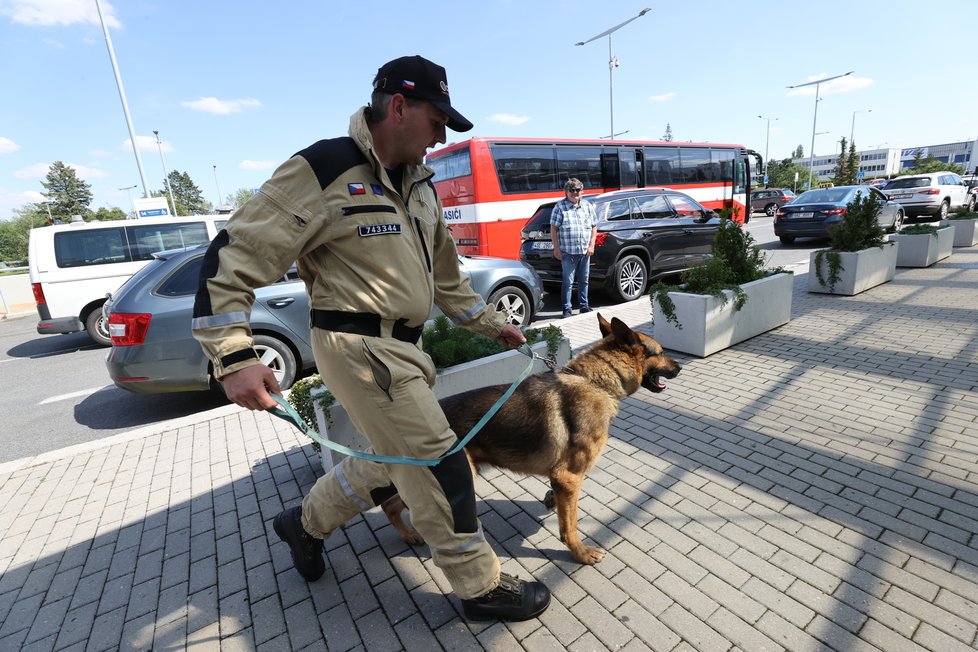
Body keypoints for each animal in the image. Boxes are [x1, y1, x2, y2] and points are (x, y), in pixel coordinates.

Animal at [382, 314, 680, 564]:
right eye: (662, 353)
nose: (678, 367)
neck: (594, 380)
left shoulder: (562, 480)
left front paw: (551, 502)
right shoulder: (570, 478)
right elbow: (570, 524)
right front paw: (580, 553)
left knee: (390, 504)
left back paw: (409, 534)